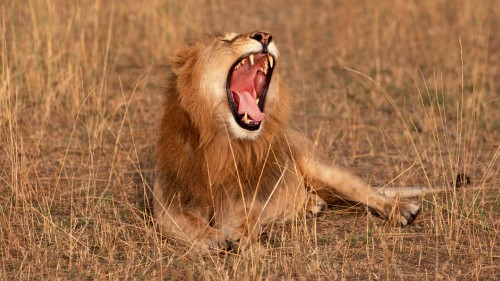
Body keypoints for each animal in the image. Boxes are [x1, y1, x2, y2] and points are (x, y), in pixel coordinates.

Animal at [153, 30, 422, 249]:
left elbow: (245, 220)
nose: (264, 35)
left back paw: (402, 210)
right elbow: (185, 222)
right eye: (226, 40)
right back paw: (312, 205)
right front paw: (210, 237)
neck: (221, 142)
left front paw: (245, 240)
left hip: (323, 168)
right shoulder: (169, 202)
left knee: (368, 192)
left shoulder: (244, 200)